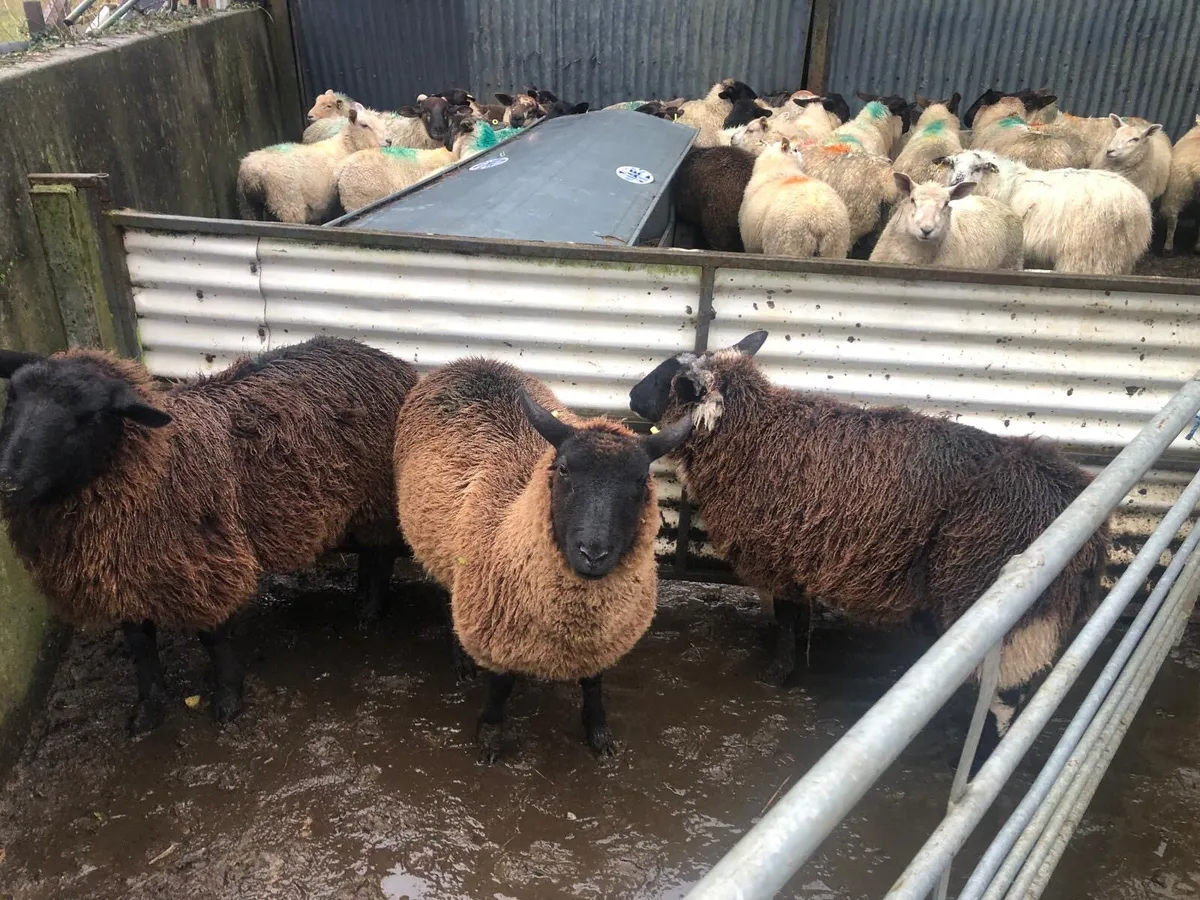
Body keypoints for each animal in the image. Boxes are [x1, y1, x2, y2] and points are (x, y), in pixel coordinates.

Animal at [0, 337, 418, 733]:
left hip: (378, 499)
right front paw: (148, 710)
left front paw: (228, 698)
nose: (8, 482)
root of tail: (387, 359)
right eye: (11, 400)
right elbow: (140, 646)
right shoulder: (122, 575)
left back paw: (369, 610)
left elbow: (211, 637)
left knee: (380, 553)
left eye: (88, 415)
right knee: (369, 552)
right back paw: (361, 595)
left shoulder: (207, 564)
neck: (160, 462)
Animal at [238, 104, 389, 224]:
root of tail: (252, 171)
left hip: (247, 206)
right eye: (364, 125)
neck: (345, 145)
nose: (389, 141)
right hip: (287, 203)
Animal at [392, 358, 692, 761]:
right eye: (563, 469)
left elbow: (593, 683)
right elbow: (501, 686)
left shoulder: (602, 636)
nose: (593, 553)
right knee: (446, 594)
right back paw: (462, 661)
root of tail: (473, 361)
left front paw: (598, 732)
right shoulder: (494, 625)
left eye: (641, 480)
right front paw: (489, 736)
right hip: (440, 547)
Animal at [627, 330, 1110, 769]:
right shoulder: (802, 553)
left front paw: (778, 673)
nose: (631, 396)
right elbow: (798, 615)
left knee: (1006, 697)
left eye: (669, 378)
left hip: (1005, 604)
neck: (756, 434)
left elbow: (785, 618)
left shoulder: (778, 552)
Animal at [944, 149, 1152, 275]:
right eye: (952, 165)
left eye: (977, 168)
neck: (1004, 183)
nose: (955, 182)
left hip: (1088, 252)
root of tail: (1136, 205)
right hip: (1119, 254)